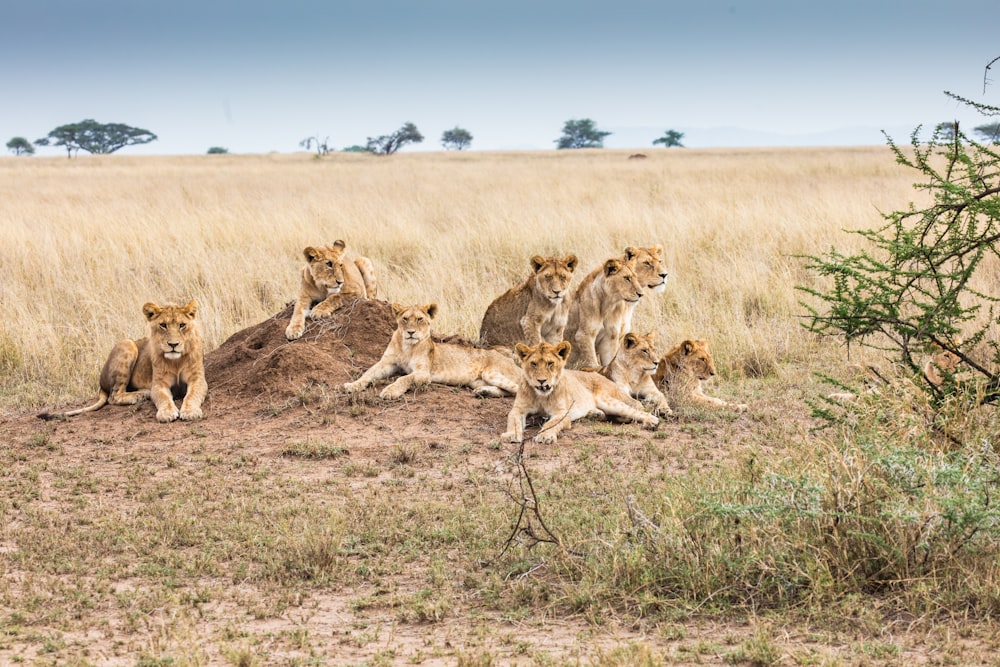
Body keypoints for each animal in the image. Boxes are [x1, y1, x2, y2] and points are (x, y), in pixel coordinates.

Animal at [39, 302, 209, 422]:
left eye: (182, 325)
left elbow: (192, 395)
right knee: (114, 396)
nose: (173, 345)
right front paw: (166, 413)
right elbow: (163, 398)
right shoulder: (159, 384)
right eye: (163, 325)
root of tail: (101, 383)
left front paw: (190, 412)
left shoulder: (198, 379)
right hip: (127, 344)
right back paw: (141, 394)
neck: (176, 362)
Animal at [344, 304, 520, 402]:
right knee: (508, 391)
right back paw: (483, 392)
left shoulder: (424, 373)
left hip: (491, 373)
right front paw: (352, 385)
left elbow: (404, 378)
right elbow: (368, 373)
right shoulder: (387, 363)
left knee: (517, 389)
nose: (411, 332)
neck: (407, 346)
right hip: (477, 381)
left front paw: (390, 391)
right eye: (405, 319)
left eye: (420, 319)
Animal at [500, 342, 656, 446]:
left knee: (635, 408)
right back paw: (595, 414)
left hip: (607, 400)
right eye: (533, 364)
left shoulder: (562, 413)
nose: (542, 381)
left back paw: (652, 421)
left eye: (550, 363)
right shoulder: (518, 409)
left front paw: (545, 436)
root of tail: (603, 376)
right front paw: (511, 434)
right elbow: (512, 420)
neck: (541, 396)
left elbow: (551, 423)